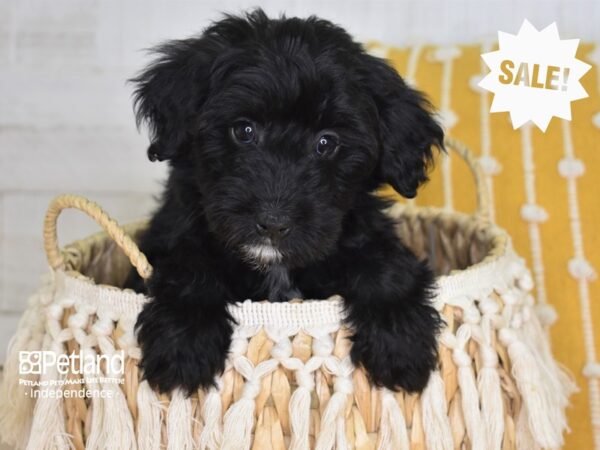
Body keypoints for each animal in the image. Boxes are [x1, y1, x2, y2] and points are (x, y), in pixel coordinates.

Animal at [126, 8, 442, 396]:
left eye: (327, 143)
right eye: (243, 130)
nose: (273, 223)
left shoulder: (360, 229)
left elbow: (385, 263)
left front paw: (400, 343)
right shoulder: (173, 233)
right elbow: (188, 263)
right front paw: (183, 343)